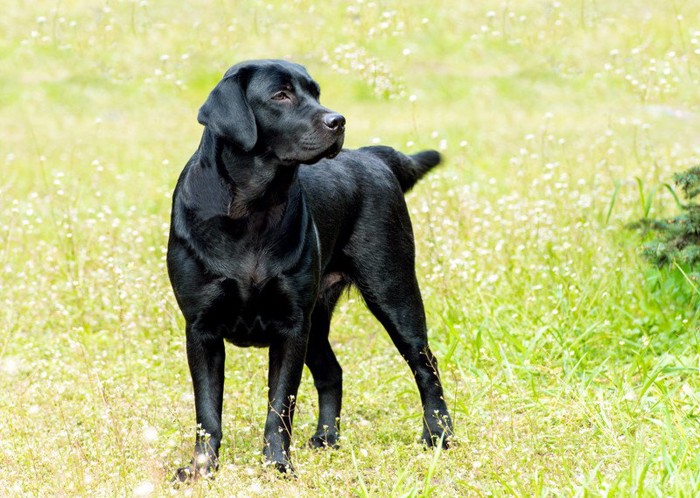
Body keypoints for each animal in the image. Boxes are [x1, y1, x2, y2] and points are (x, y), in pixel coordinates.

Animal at [170, 59, 454, 478]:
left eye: (315, 93)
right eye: (281, 95)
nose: (339, 120)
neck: (253, 209)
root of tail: (373, 156)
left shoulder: (291, 326)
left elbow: (279, 406)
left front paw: (276, 464)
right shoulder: (201, 328)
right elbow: (207, 412)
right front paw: (200, 469)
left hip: (392, 291)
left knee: (426, 366)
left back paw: (438, 436)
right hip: (318, 318)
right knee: (332, 371)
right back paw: (326, 437)